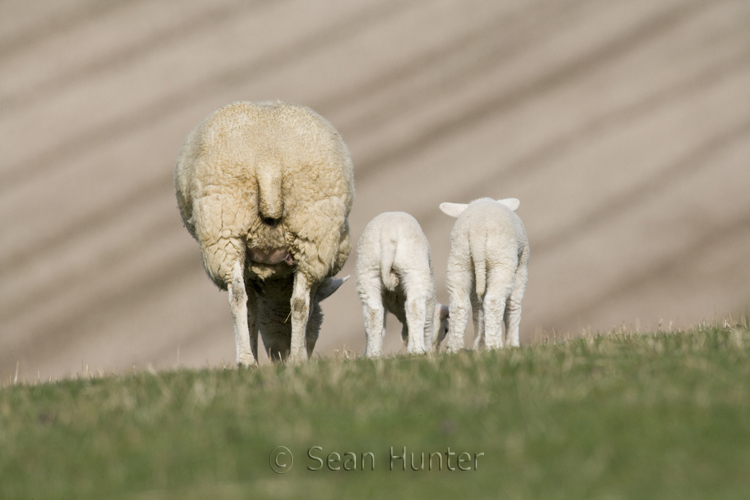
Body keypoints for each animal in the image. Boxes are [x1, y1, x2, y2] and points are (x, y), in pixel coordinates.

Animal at [176, 101, 356, 366]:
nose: (281, 357)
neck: (274, 283)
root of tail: (268, 162)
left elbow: (251, 309)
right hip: (312, 230)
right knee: (298, 302)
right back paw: (280, 361)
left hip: (226, 227)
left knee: (239, 296)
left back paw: (256, 360)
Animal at [356, 213, 450, 358]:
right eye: (446, 330)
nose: (436, 351)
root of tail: (387, 234)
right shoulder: (429, 299)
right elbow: (427, 324)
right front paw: (425, 349)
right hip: (413, 269)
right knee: (414, 308)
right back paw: (417, 350)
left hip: (368, 271)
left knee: (373, 313)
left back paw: (374, 355)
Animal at [440, 197, 528, 354]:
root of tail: (477, 230)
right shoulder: (521, 266)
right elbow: (514, 305)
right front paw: (512, 344)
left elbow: (478, 309)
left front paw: (479, 345)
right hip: (501, 260)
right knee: (494, 301)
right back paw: (494, 345)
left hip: (459, 261)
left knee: (460, 304)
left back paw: (454, 348)